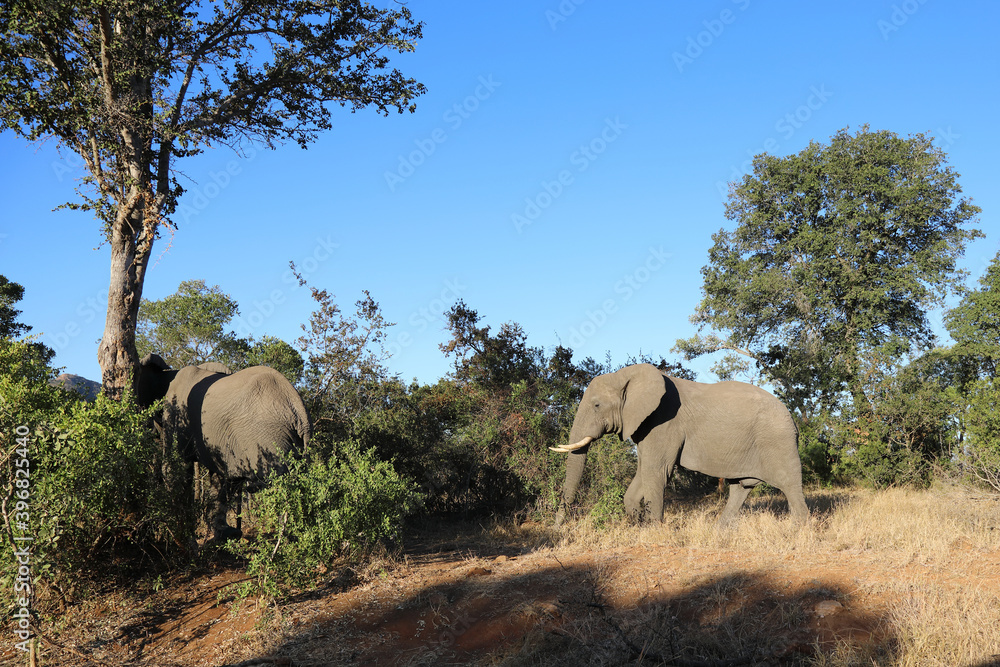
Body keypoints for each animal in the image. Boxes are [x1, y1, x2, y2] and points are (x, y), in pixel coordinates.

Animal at [137, 353, 311, 541]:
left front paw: (180, 532)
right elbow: (220, 478)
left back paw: (288, 539)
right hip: (292, 441)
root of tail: (299, 411)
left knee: (280, 484)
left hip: (269, 437)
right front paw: (226, 535)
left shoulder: (177, 414)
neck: (168, 374)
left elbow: (176, 469)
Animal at [551, 363, 808, 527]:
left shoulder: (664, 422)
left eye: (596, 405)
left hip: (778, 440)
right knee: (741, 487)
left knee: (789, 485)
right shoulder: (647, 426)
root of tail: (793, 419)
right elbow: (643, 472)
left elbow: (657, 471)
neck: (626, 376)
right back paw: (719, 531)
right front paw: (640, 524)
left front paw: (654, 530)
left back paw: (797, 532)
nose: (558, 529)